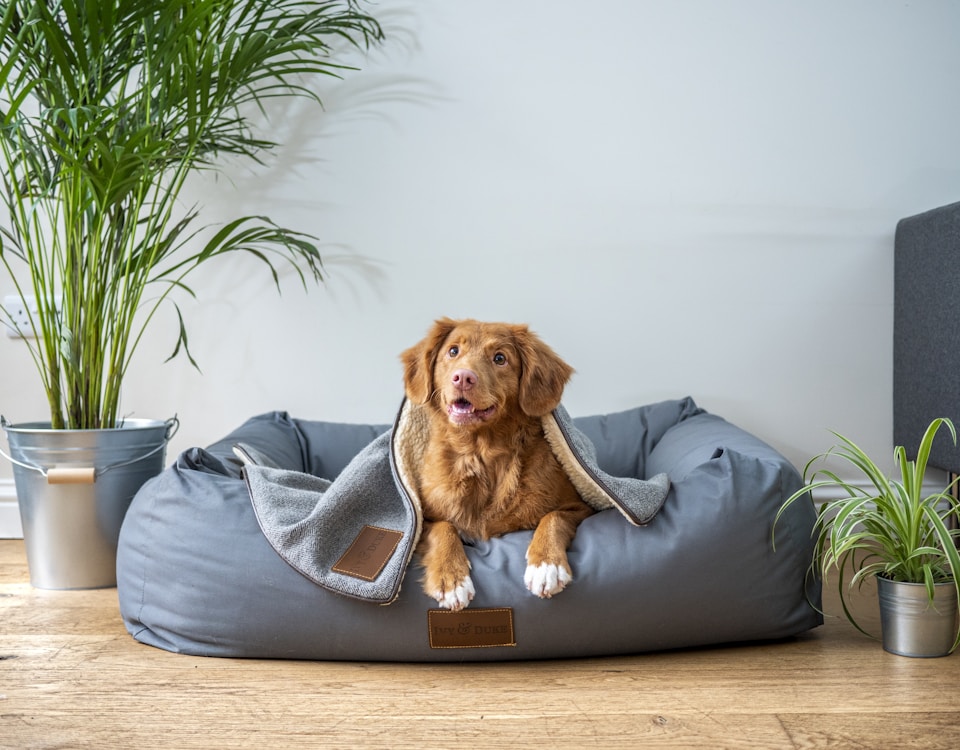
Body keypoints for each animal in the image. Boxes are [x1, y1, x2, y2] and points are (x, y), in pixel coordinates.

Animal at [398, 318, 592, 612]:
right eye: (453, 351)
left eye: (500, 358)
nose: (463, 378)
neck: (480, 453)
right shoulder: (421, 520)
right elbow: (444, 528)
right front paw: (451, 579)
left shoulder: (581, 507)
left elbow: (554, 517)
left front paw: (546, 565)